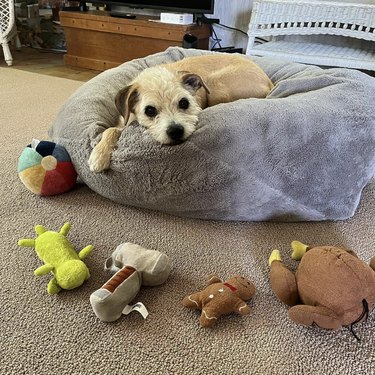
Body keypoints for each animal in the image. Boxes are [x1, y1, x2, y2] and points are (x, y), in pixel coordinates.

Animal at [89, 53, 274, 173]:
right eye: (150, 110)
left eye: (184, 103)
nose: (176, 131)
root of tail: (269, 82)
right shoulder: (124, 121)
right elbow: (110, 130)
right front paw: (99, 154)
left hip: (215, 86)